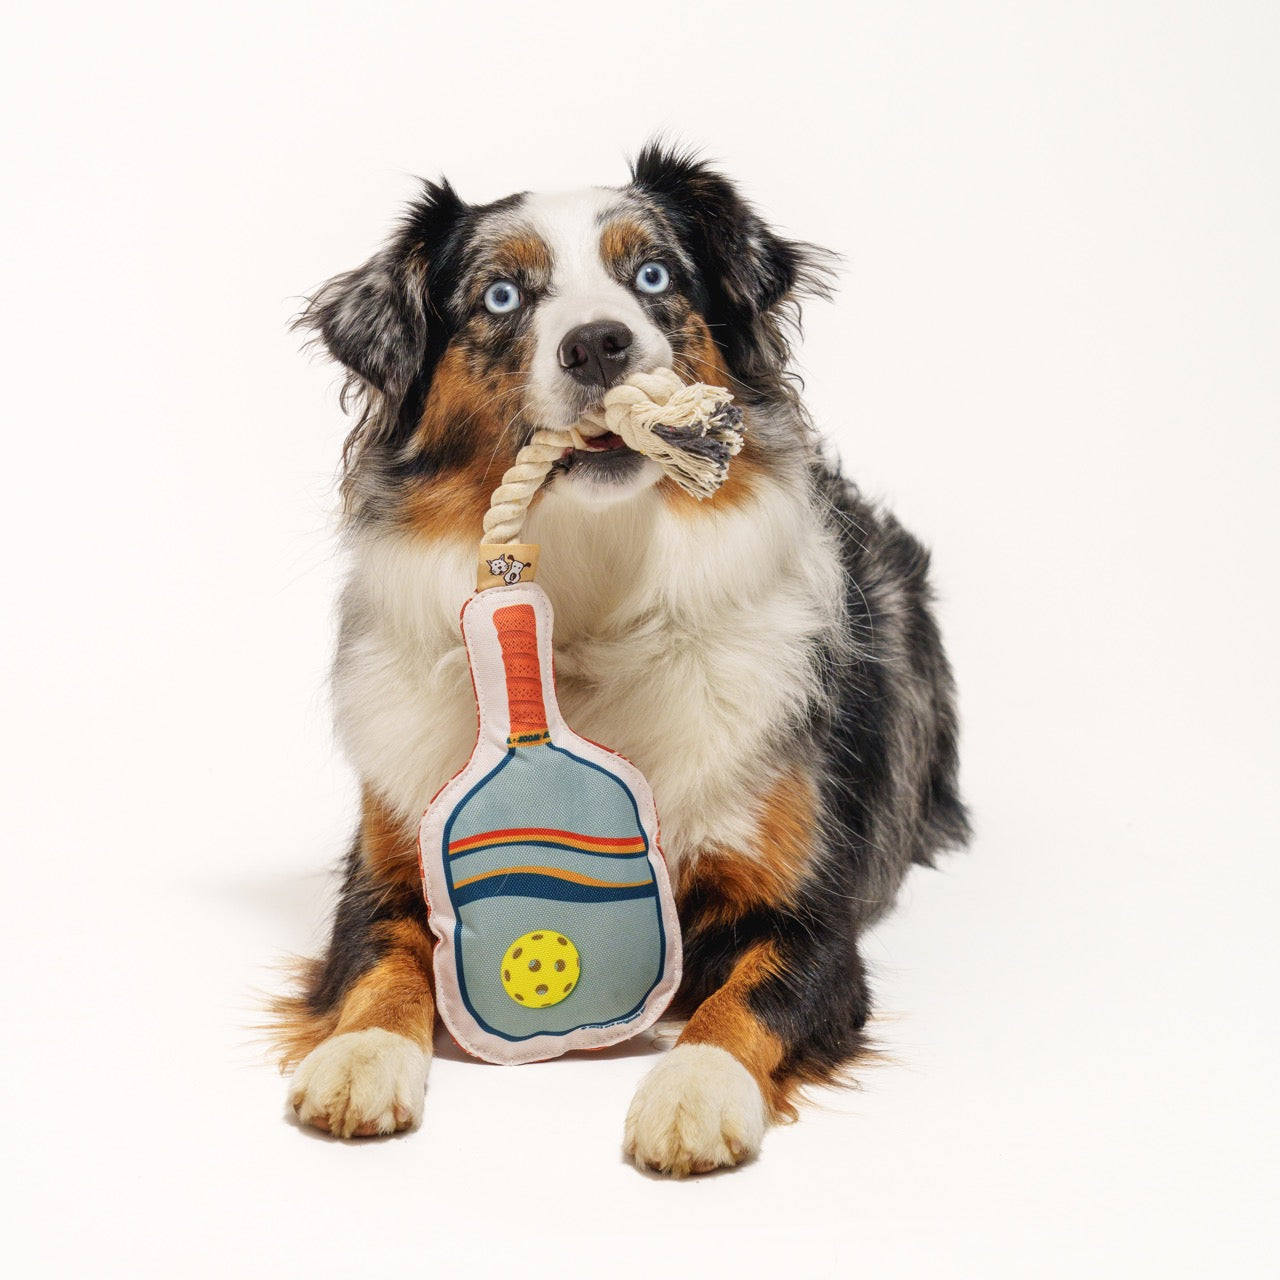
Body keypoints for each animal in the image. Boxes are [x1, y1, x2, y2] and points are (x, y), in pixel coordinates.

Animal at [272, 142, 967, 1177]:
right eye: (502, 296)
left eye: (654, 278)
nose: (598, 343)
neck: (590, 603)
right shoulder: (388, 861)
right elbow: (376, 965)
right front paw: (359, 1058)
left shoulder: (806, 913)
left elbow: (745, 1001)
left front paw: (694, 1094)